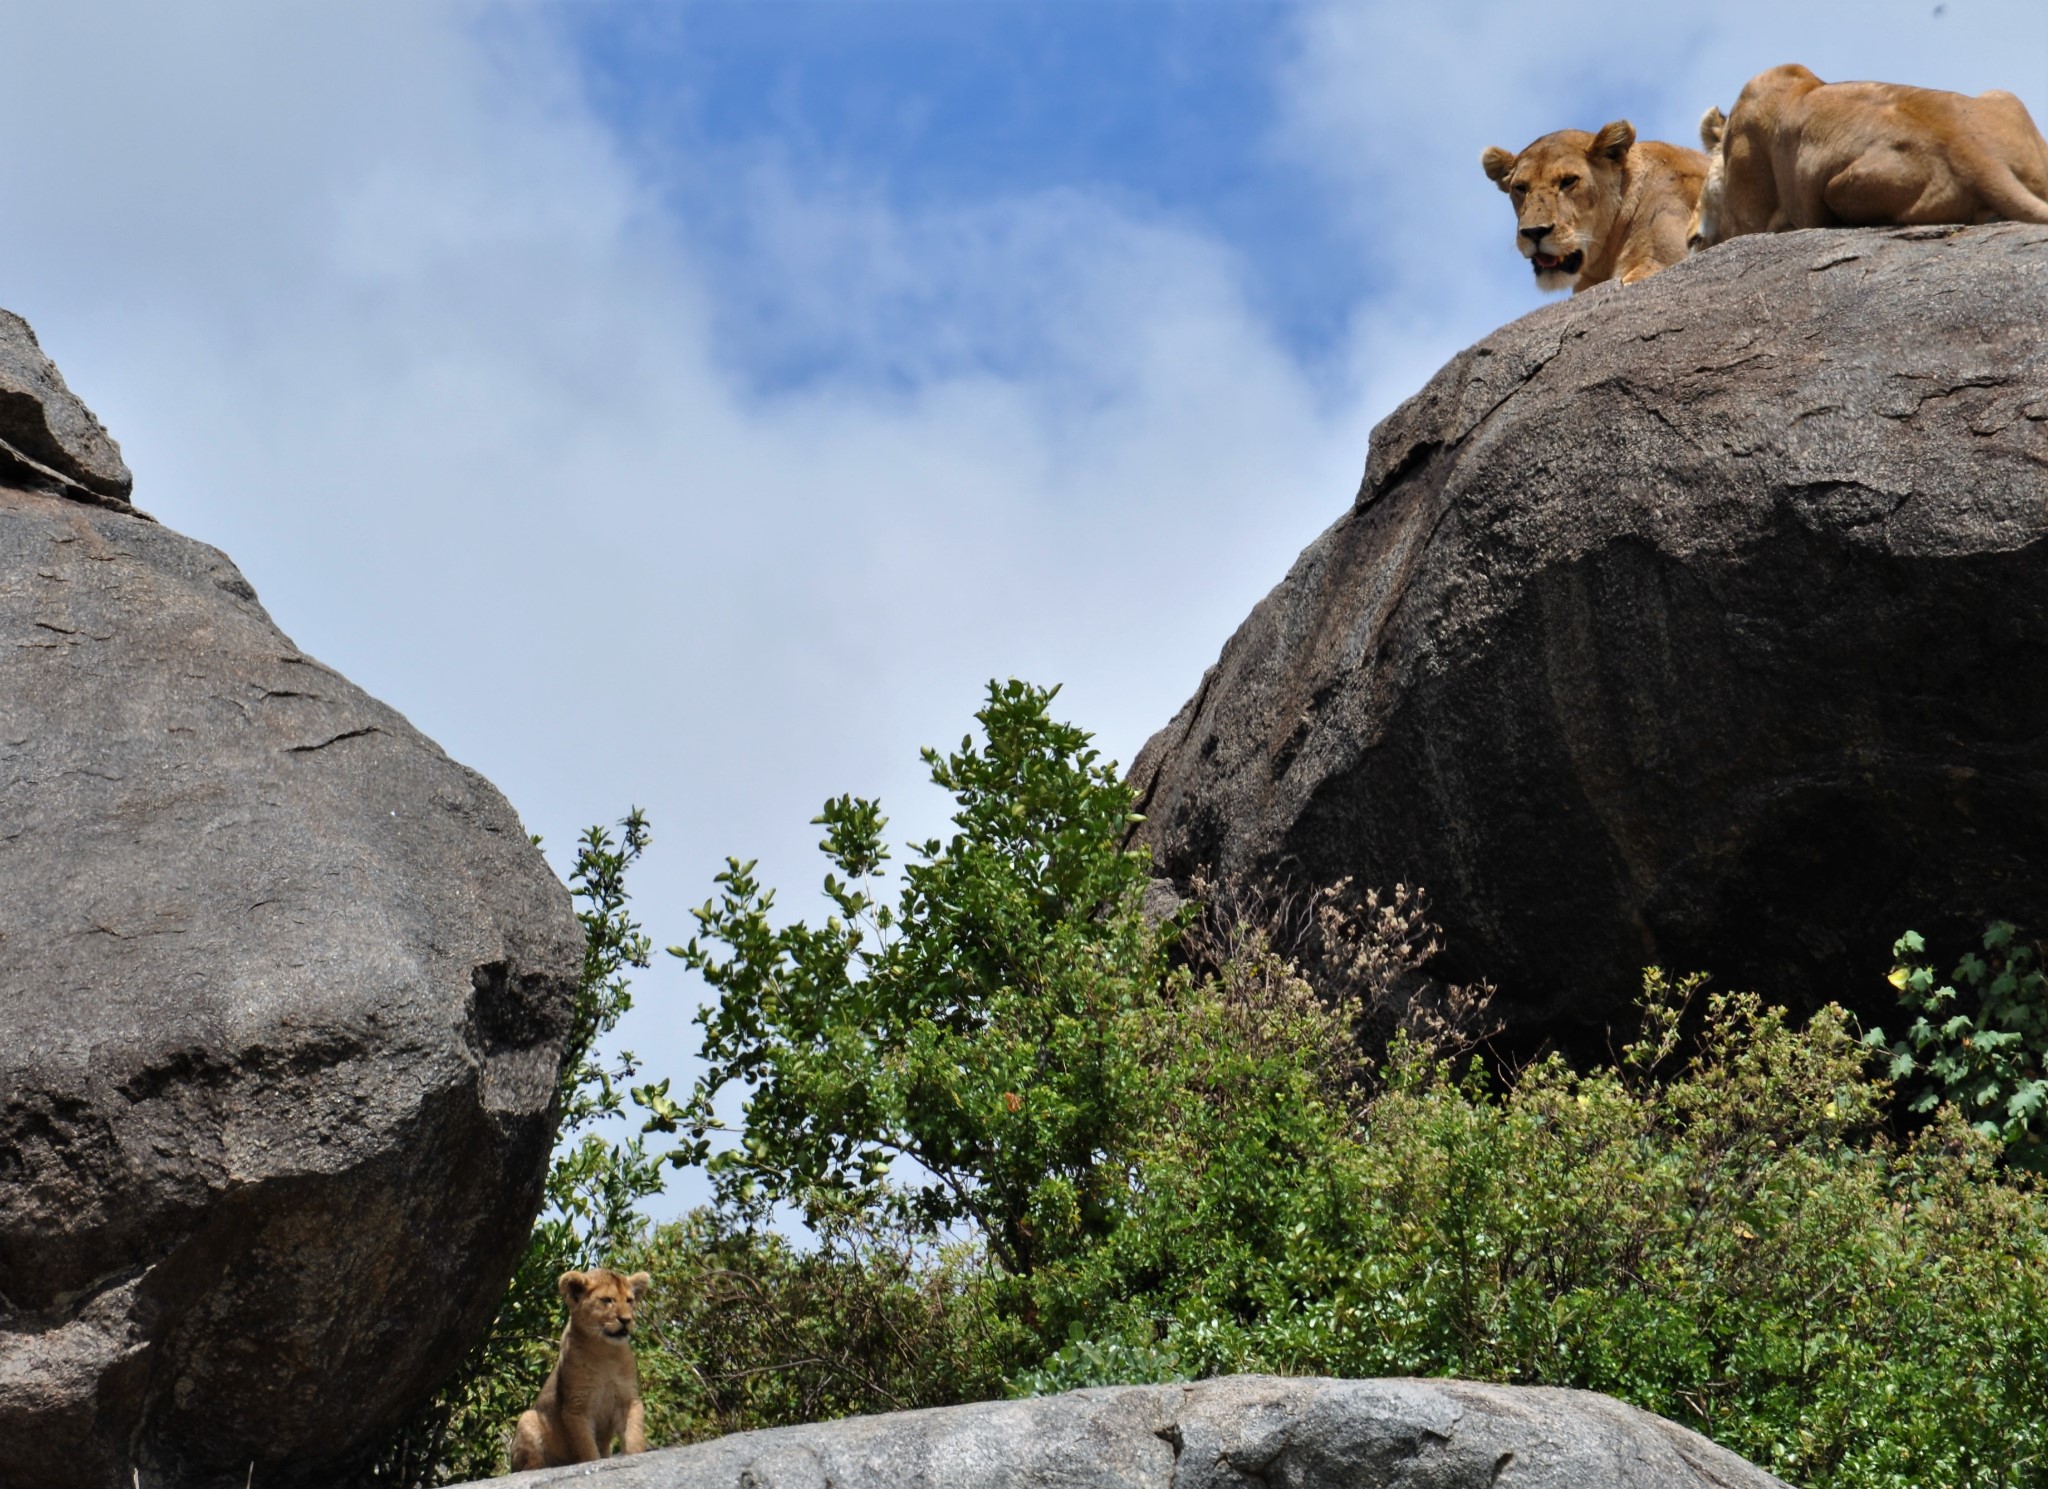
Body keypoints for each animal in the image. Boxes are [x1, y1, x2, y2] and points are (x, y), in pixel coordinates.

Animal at [505, 1269, 647, 1466]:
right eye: (607, 1300)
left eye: (629, 1300)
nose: (626, 1320)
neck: (605, 1351)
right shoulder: (576, 1407)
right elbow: (587, 1448)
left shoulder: (628, 1399)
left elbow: (633, 1433)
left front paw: (635, 1454)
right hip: (528, 1418)